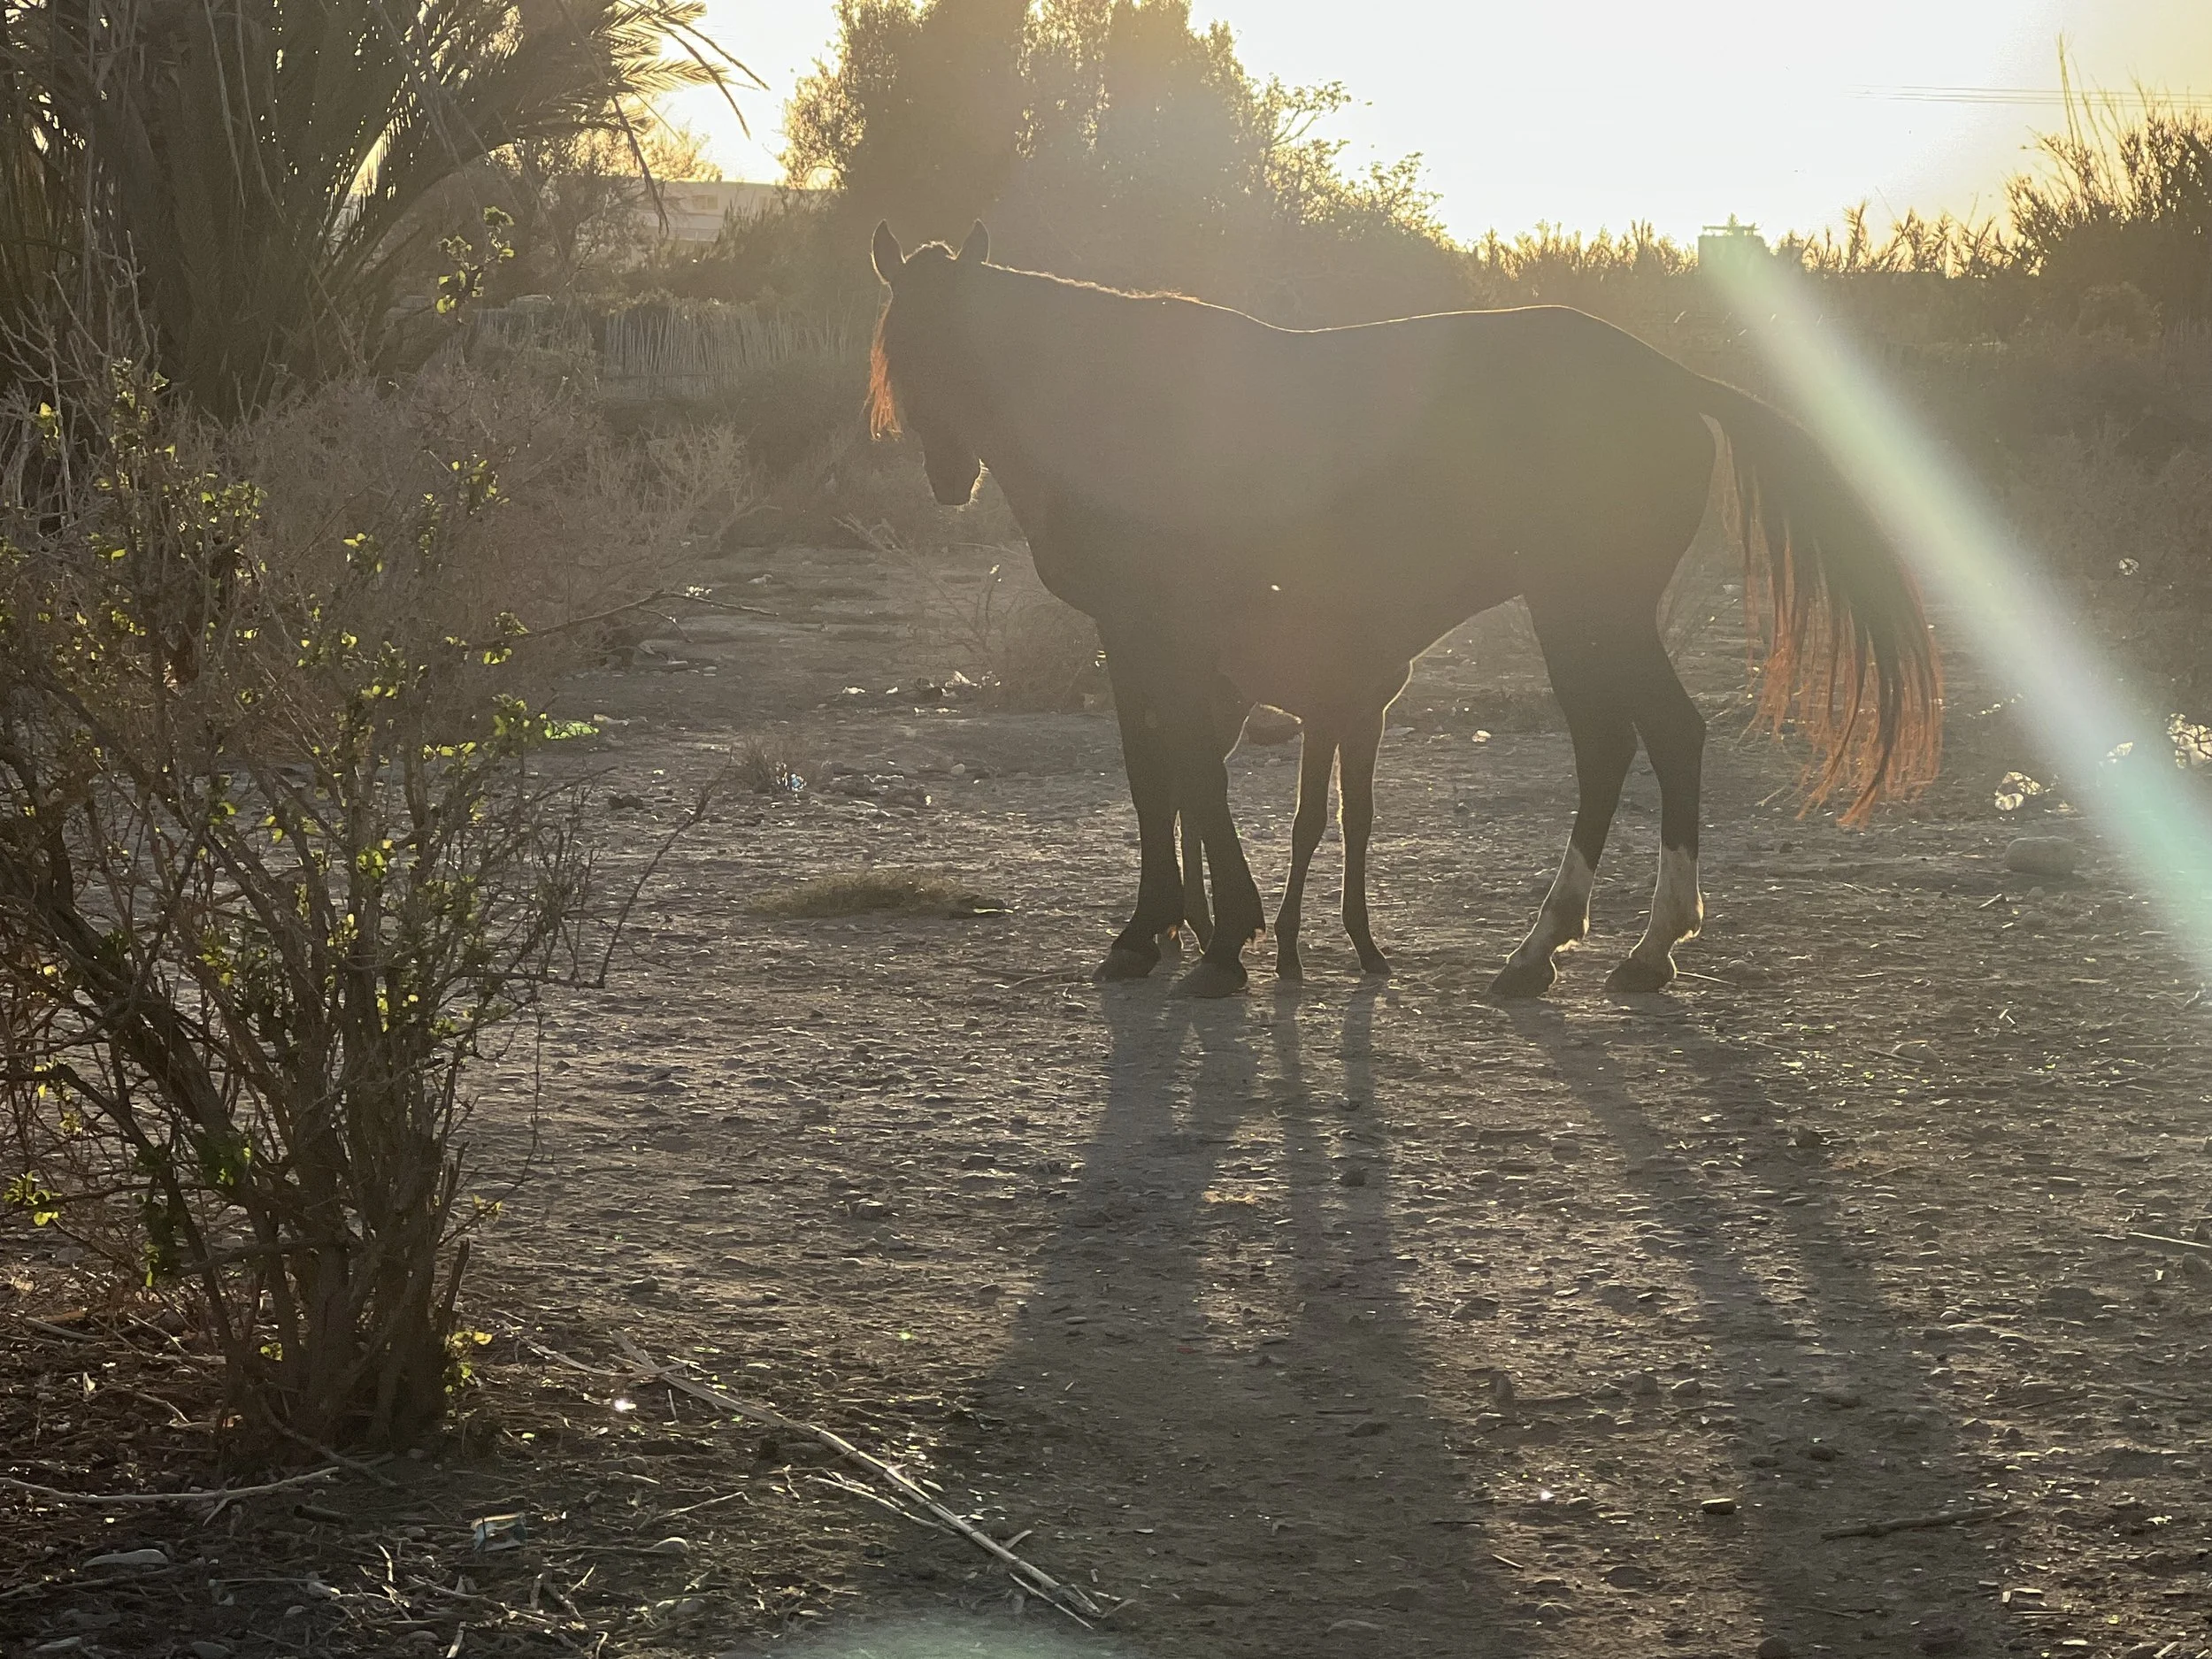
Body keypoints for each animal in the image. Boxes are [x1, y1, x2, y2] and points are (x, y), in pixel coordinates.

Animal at [869, 221, 1940, 999]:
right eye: (901, 349)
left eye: (963, 345)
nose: (947, 476)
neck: (1126, 404)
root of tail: (1670, 379)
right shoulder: (1146, 640)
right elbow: (1158, 779)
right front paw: (1167, 929)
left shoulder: (1155, 631)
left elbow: (1183, 777)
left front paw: (1209, 938)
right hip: (1585, 613)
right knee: (1618, 744)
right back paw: (1561, 948)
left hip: (1586, 606)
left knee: (1654, 736)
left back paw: (1620, 946)